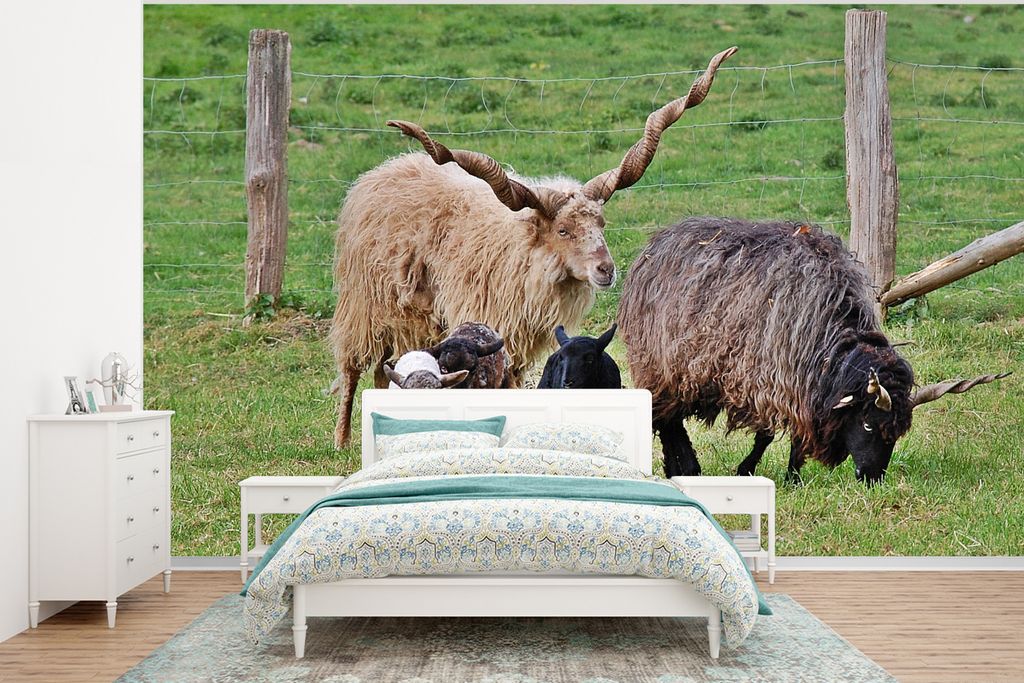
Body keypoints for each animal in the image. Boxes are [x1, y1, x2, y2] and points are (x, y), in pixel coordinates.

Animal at [329, 48, 738, 447]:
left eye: (601, 224)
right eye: (563, 230)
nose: (606, 270)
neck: (523, 249)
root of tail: (381, 173)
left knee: (386, 370)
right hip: (364, 305)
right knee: (351, 368)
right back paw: (342, 440)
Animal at [617, 216, 1009, 484]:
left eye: (897, 434)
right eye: (868, 424)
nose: (871, 479)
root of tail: (656, 242)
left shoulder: (802, 386)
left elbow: (794, 438)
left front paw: (793, 477)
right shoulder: (767, 376)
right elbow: (767, 435)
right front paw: (749, 470)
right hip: (664, 365)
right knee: (666, 419)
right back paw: (684, 467)